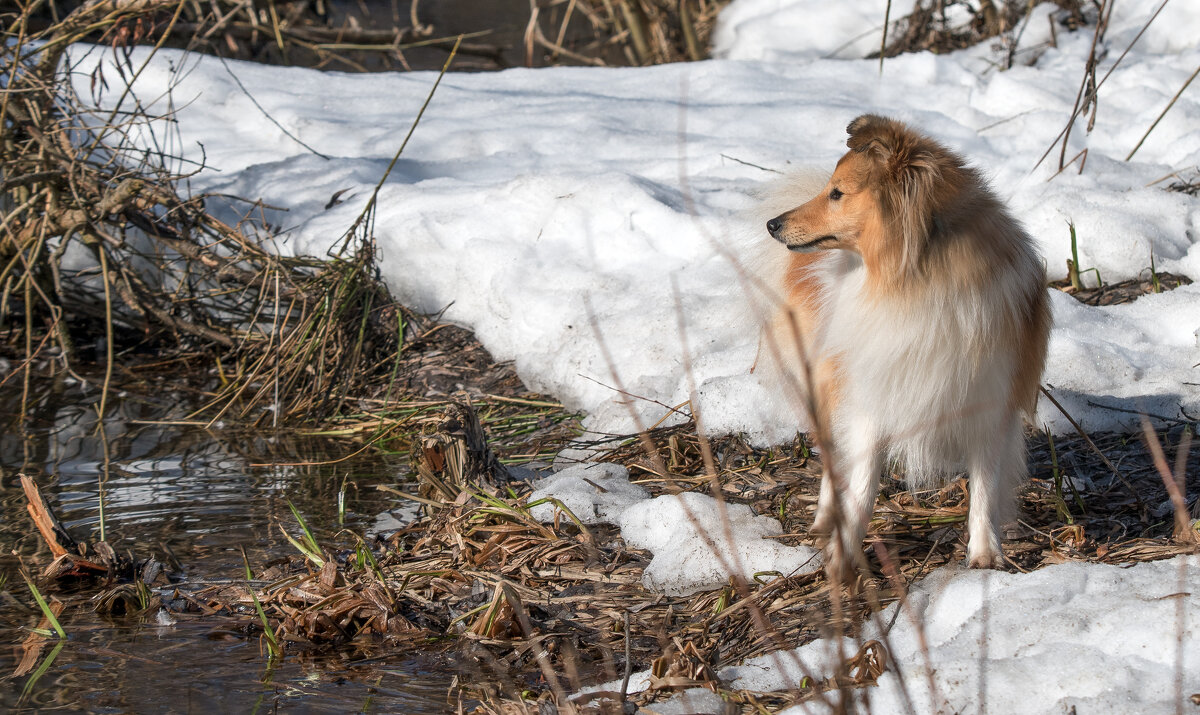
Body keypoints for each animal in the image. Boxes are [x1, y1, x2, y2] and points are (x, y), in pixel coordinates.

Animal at [758, 113, 1051, 580]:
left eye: (837, 193)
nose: (772, 224)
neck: (915, 277)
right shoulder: (872, 400)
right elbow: (862, 485)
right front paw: (844, 554)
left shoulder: (990, 404)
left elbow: (985, 487)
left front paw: (985, 553)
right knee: (832, 458)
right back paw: (826, 517)